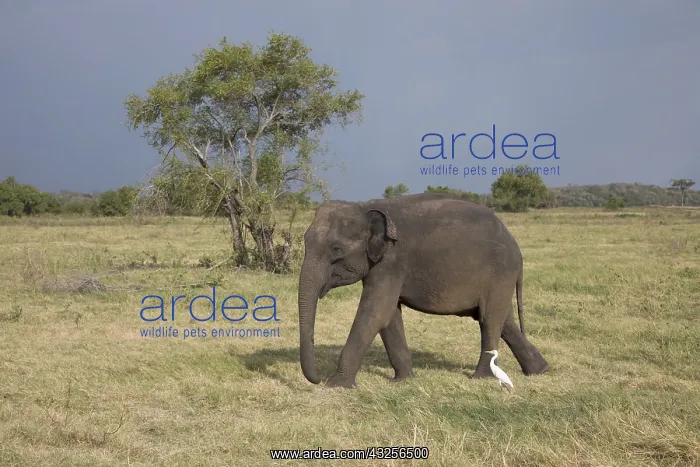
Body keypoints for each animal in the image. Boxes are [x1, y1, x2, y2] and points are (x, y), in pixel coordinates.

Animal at [297, 192, 549, 388]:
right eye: (305, 242)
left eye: (336, 249)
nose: (319, 378)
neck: (364, 205)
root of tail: (516, 247)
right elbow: (389, 316)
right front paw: (403, 381)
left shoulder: (393, 261)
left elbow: (375, 313)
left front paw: (336, 385)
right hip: (499, 279)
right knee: (502, 320)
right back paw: (539, 370)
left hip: (500, 274)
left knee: (489, 319)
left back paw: (480, 378)